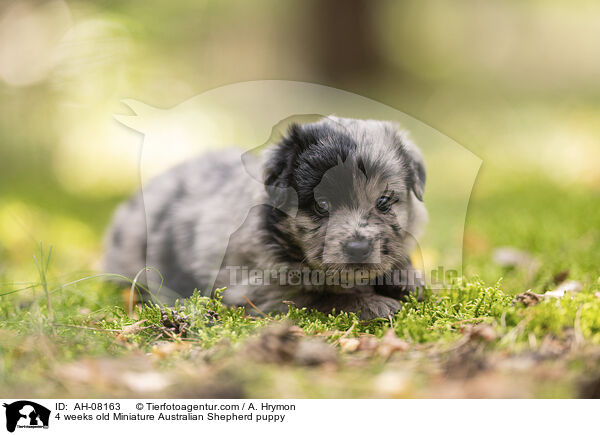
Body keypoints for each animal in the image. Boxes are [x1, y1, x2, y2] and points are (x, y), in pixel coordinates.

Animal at [106, 116, 426, 320]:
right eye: (321, 205)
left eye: (383, 201)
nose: (358, 249)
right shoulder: (254, 289)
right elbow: (313, 297)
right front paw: (372, 303)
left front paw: (405, 278)